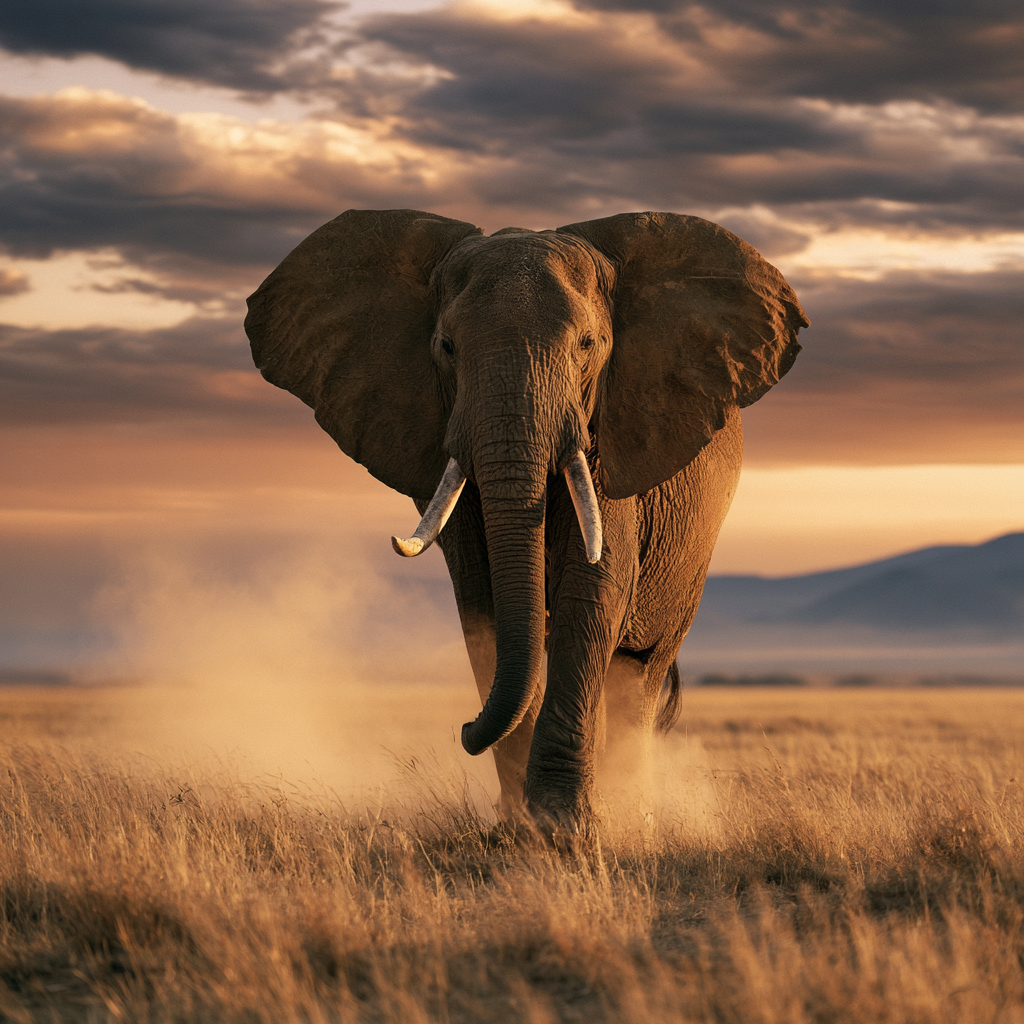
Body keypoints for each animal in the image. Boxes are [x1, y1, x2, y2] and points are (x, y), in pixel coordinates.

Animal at [244, 209, 808, 838]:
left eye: (589, 345)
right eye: (446, 347)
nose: (465, 729)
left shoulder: (607, 437)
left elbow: (592, 592)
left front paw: (563, 832)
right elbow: (483, 604)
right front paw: (519, 829)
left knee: (640, 669)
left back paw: (633, 821)